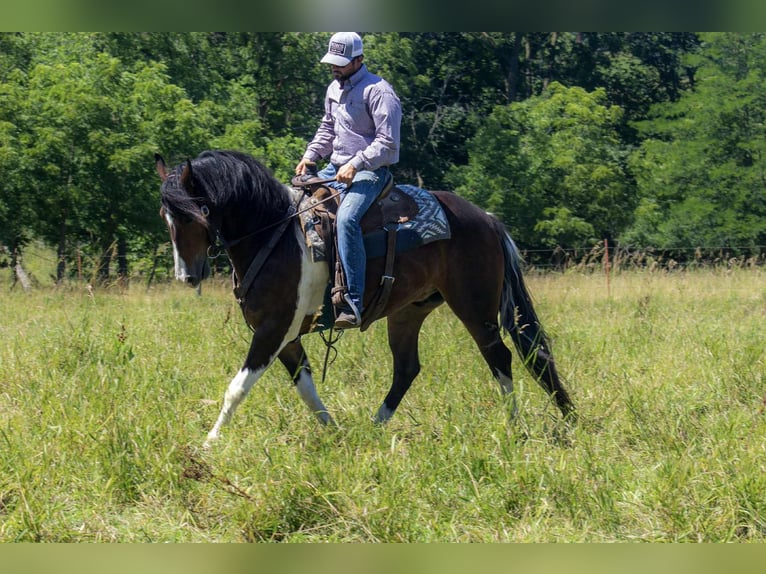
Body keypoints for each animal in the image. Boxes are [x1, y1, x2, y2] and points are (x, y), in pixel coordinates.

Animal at [155, 150, 575, 446]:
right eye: (166, 216)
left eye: (195, 214)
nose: (187, 275)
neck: (276, 236)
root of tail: (486, 218)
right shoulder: (287, 337)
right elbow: (306, 388)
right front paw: (336, 432)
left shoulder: (273, 330)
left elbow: (237, 388)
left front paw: (210, 442)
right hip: (408, 313)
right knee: (407, 368)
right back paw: (375, 426)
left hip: (475, 306)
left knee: (500, 357)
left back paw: (514, 426)